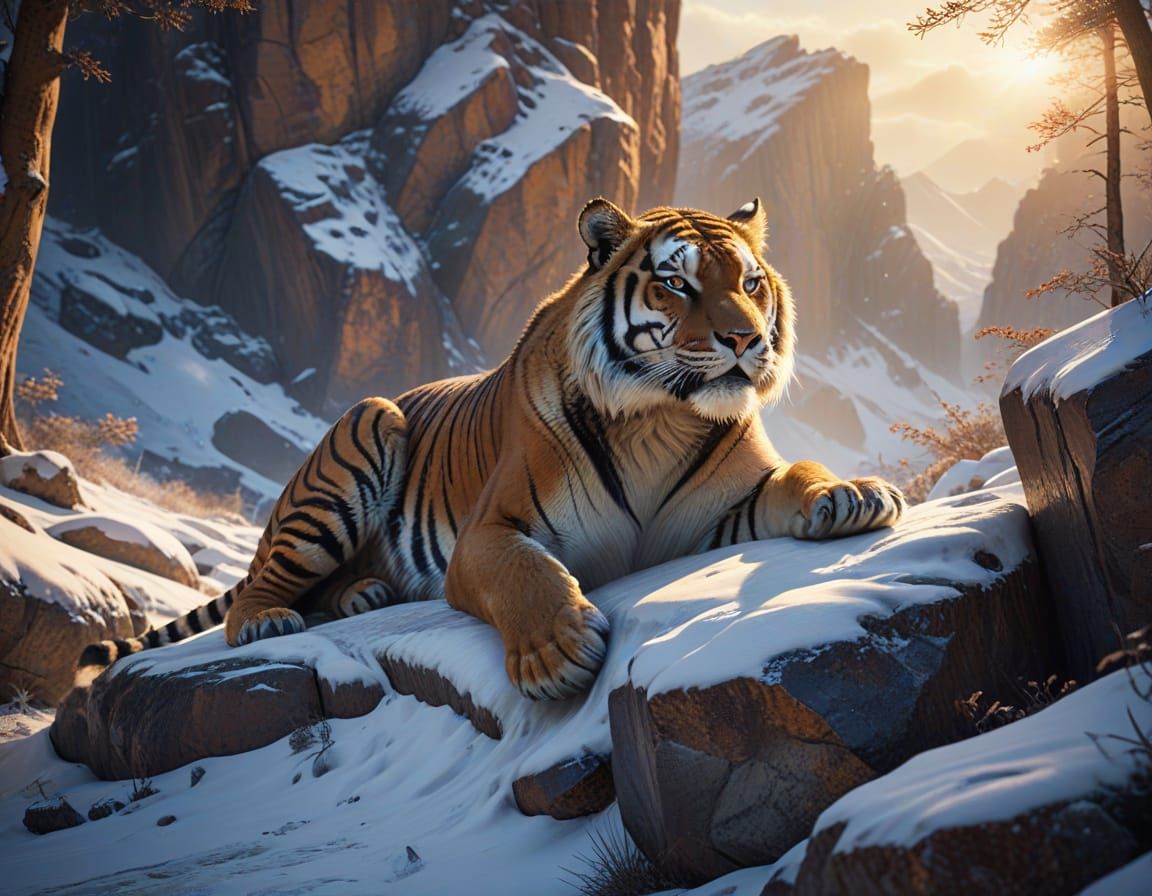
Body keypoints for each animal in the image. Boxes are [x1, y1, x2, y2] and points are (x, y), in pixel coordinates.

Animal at [79, 198, 905, 700]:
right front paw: (556, 656)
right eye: (676, 283)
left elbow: (798, 473)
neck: (659, 418)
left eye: (752, 282)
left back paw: (364, 594)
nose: (746, 339)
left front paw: (851, 494)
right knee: (262, 585)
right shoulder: (489, 531)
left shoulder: (721, 511)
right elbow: (525, 572)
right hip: (361, 435)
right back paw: (267, 621)